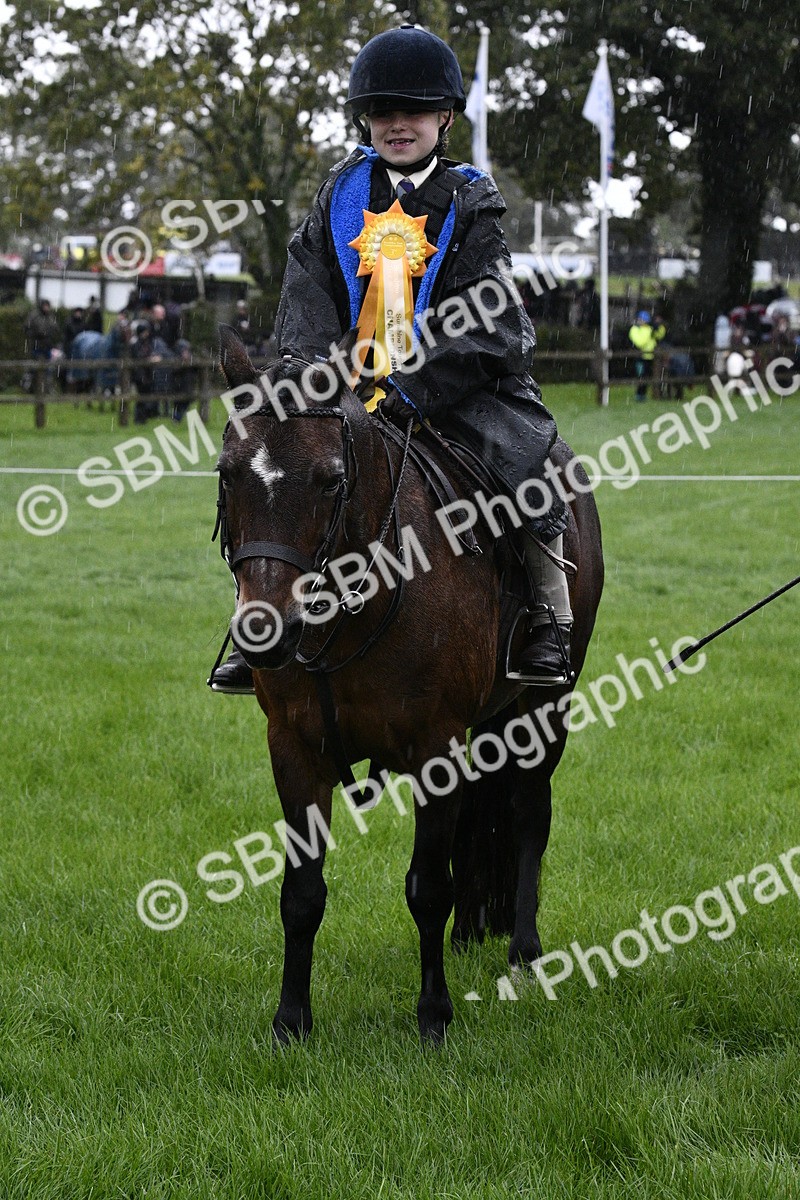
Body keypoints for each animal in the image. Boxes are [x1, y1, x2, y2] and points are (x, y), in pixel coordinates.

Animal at [215, 326, 604, 1044]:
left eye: (332, 479)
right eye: (229, 473)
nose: (264, 632)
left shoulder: (434, 748)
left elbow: (427, 886)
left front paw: (433, 1015)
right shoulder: (293, 749)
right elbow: (301, 892)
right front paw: (291, 1020)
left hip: (545, 705)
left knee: (528, 813)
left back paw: (524, 950)